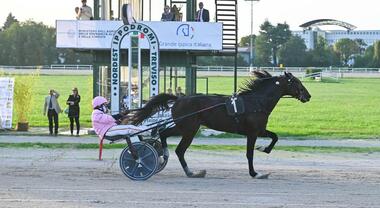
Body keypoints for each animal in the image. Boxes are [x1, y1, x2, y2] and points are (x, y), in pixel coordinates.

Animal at [132, 70, 310, 178]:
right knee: (179, 149)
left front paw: (264, 149)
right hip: (189, 129)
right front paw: (255, 173)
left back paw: (165, 156)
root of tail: (179, 98)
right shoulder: (252, 132)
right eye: (296, 82)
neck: (256, 101)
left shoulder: (259, 130)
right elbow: (249, 154)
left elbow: (275, 137)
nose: (308, 96)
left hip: (183, 127)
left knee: (164, 134)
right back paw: (190, 172)